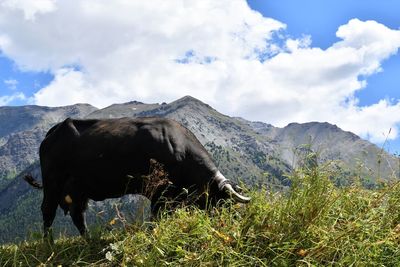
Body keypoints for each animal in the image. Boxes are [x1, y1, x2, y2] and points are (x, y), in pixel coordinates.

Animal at [23, 118, 250, 238]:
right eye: (225, 202)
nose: (233, 224)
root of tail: (54, 131)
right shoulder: (159, 192)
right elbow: (156, 216)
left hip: (78, 190)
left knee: (78, 216)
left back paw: (89, 240)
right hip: (53, 182)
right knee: (48, 212)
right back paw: (48, 243)